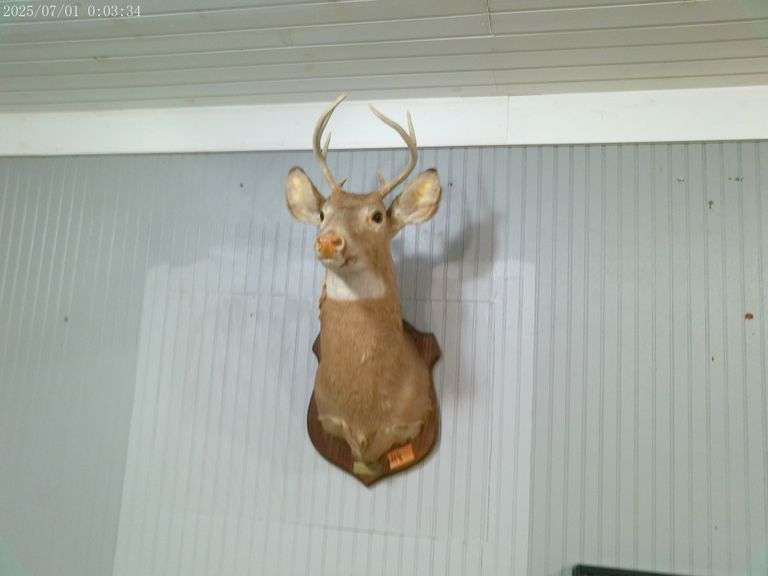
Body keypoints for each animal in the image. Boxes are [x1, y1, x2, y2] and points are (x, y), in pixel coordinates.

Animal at [284, 94, 442, 469]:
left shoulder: (408, 421)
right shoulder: (330, 420)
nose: (329, 241)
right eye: (323, 213)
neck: (364, 411)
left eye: (378, 216)